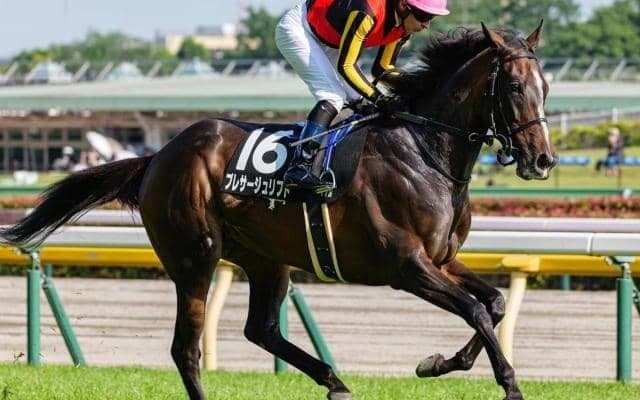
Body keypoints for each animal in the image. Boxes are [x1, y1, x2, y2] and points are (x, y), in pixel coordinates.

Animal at [0, 22, 555, 400]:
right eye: (512, 87)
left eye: (545, 87)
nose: (543, 159)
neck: (423, 150)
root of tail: (157, 156)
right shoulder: (406, 266)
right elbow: (476, 310)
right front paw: (508, 383)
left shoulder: (441, 260)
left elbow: (494, 305)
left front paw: (439, 363)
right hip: (194, 257)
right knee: (186, 347)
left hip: (266, 259)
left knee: (259, 329)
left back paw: (335, 380)